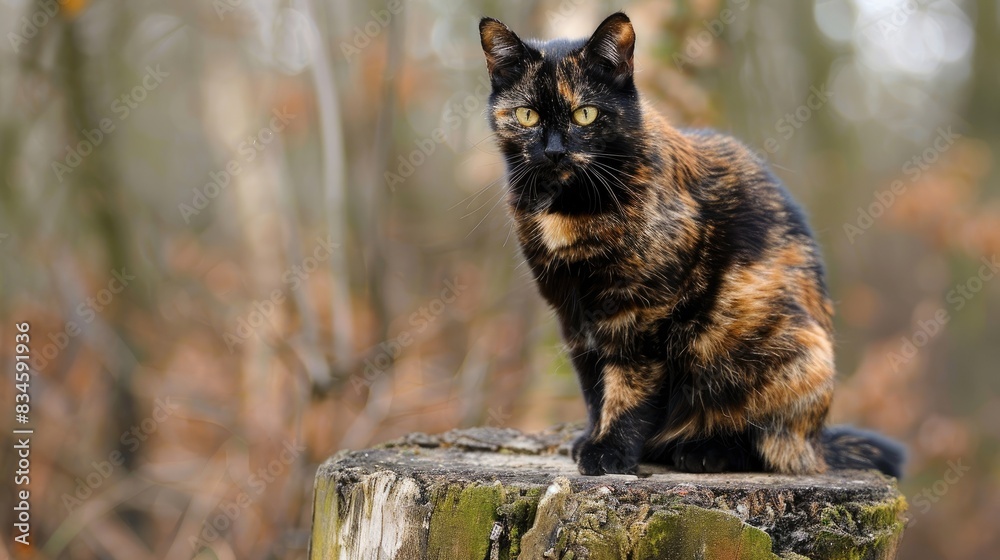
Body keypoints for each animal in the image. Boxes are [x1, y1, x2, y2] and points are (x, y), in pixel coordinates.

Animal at [478, 12, 908, 476]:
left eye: (585, 114)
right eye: (526, 115)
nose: (555, 152)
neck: (566, 213)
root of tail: (819, 440)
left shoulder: (641, 313)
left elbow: (627, 387)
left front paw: (609, 452)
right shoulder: (573, 316)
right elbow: (593, 388)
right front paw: (592, 438)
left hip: (775, 348)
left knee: (772, 444)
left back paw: (706, 450)